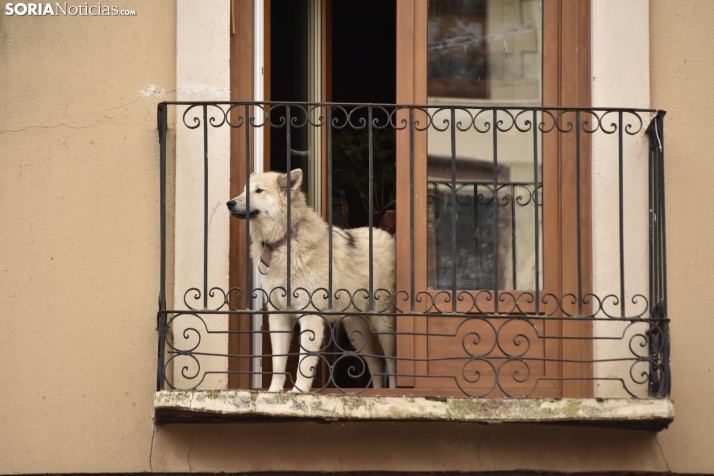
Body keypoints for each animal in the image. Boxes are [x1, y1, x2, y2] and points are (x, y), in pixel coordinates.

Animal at [225, 169, 394, 392]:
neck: (283, 243)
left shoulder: (310, 316)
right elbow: (278, 363)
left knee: (391, 363)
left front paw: (298, 392)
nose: (229, 203)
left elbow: (304, 364)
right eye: (244, 190)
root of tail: (389, 236)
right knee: (377, 365)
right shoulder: (278, 316)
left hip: (383, 325)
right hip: (356, 333)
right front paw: (274, 392)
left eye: (259, 191)